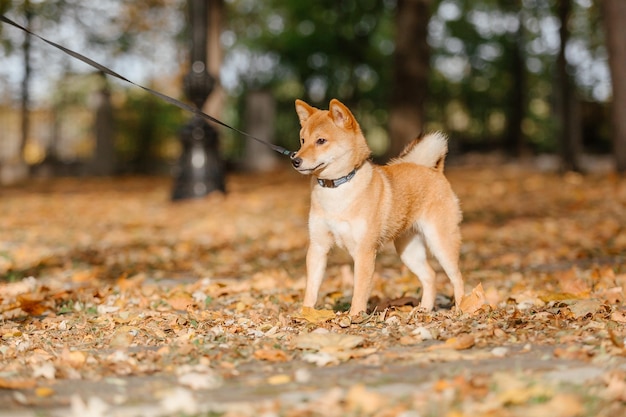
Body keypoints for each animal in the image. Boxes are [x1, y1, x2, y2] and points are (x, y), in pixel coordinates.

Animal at [290, 98, 460, 316]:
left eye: (321, 141)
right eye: (303, 140)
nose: (295, 160)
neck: (337, 188)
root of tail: (434, 170)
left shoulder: (364, 251)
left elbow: (359, 290)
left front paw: (354, 317)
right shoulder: (318, 247)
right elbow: (311, 287)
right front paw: (306, 314)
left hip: (441, 242)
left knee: (457, 277)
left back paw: (464, 307)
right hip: (408, 250)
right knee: (430, 275)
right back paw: (424, 308)